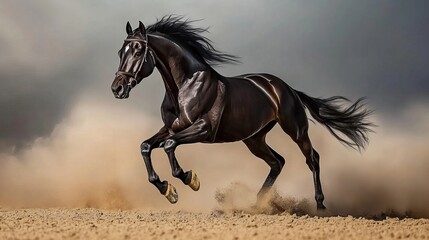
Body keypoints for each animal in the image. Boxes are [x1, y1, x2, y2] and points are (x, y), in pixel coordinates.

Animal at [111, 15, 374, 209]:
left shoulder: (203, 129)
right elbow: (146, 146)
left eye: (137, 51)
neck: (185, 86)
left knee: (313, 159)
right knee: (278, 162)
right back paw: (256, 204)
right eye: (120, 52)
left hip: (296, 130)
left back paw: (319, 206)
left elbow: (169, 146)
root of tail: (287, 88)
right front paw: (168, 190)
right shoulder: (170, 128)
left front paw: (190, 180)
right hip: (254, 139)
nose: (117, 88)